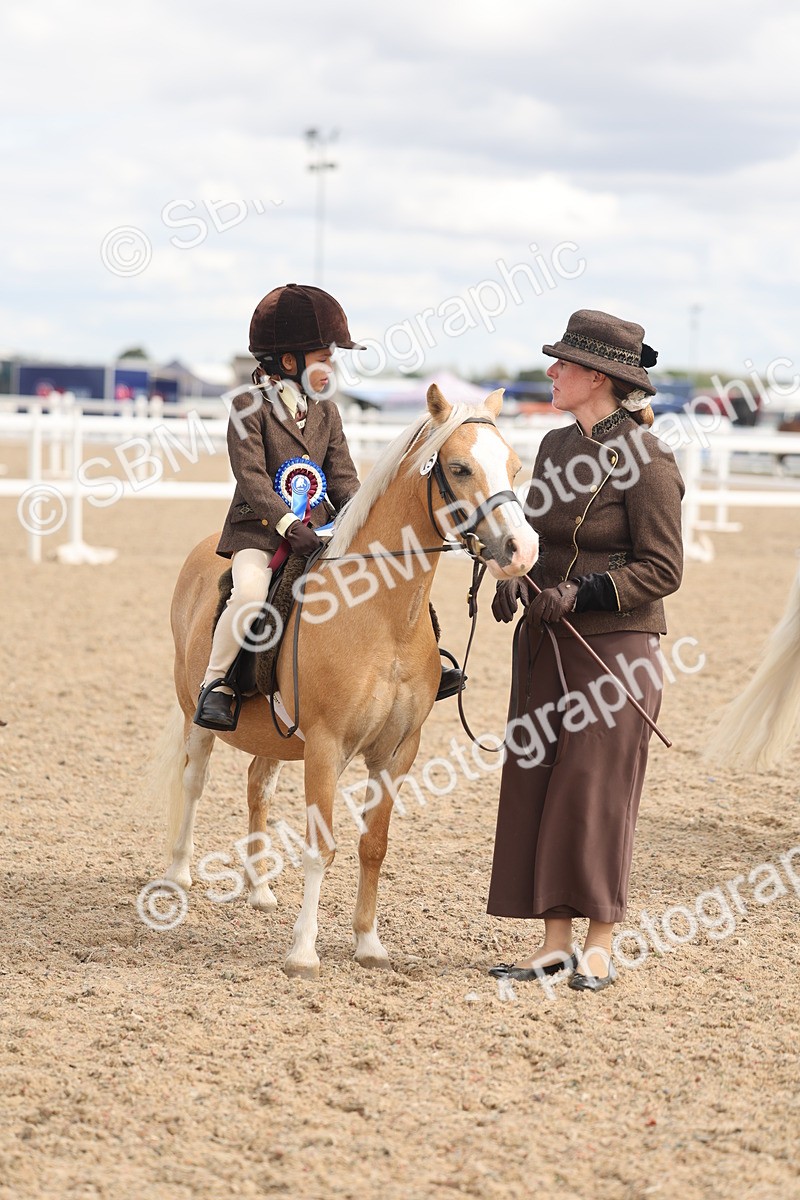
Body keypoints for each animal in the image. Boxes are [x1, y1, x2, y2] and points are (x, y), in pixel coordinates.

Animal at [153, 384, 539, 978]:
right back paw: (178, 875)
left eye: (516, 467)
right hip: (198, 714)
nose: (523, 551)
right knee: (194, 781)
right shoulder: (327, 746)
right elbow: (322, 846)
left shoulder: (398, 751)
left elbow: (372, 845)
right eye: (459, 467)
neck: (381, 614)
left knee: (258, 786)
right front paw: (303, 953)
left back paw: (259, 890)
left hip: (275, 736)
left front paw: (368, 944)